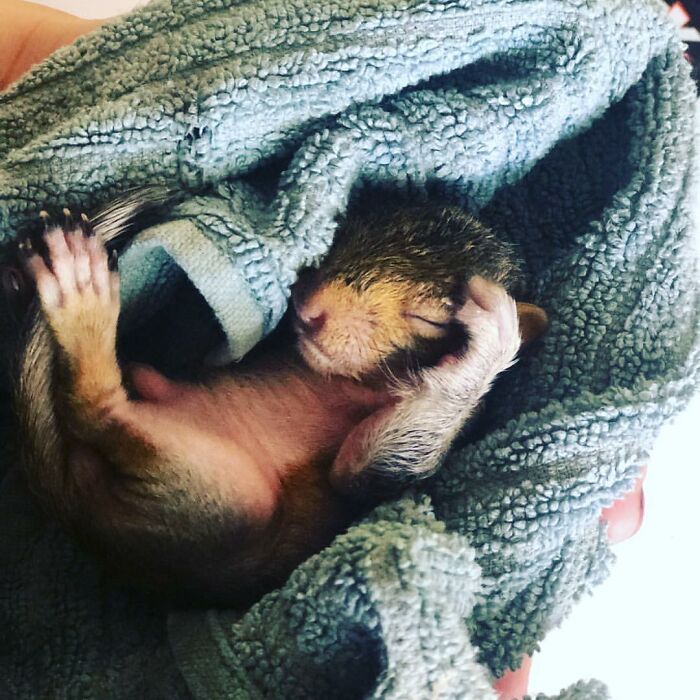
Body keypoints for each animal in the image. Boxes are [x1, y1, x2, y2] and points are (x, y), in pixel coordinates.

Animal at [4, 193, 547, 606]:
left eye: (430, 319)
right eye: (348, 232)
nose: (308, 310)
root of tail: (76, 516)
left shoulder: (362, 488)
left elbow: (364, 468)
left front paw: (497, 339)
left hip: (218, 500)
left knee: (95, 408)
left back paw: (78, 292)